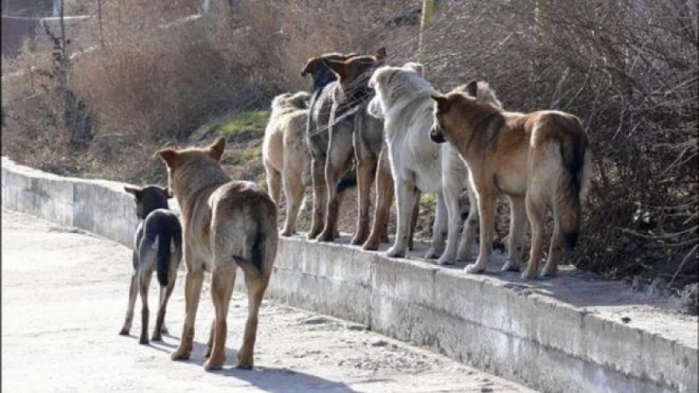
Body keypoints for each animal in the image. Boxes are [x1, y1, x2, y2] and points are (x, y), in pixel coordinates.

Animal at [119, 184, 183, 344]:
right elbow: (160, 300)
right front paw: (164, 328)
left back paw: (144, 338)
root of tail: (165, 225)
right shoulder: (163, 273)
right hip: (171, 274)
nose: (136, 213)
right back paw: (156, 334)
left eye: (135, 200)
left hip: (144, 274)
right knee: (162, 308)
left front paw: (125, 329)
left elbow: (131, 303)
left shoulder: (136, 271)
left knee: (145, 308)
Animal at [157, 136, 278, 370]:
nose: (164, 190)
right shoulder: (225, 276)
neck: (202, 185)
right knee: (251, 320)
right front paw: (208, 347)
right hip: (256, 276)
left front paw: (183, 352)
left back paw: (215, 362)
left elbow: (190, 318)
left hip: (220, 277)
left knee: (223, 322)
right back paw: (244, 360)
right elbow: (216, 317)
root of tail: (251, 196)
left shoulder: (194, 273)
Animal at [366, 62, 482, 264]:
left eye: (374, 91)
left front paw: (397, 251)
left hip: (451, 183)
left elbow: (403, 222)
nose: (369, 106)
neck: (407, 99)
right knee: (473, 218)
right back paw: (463, 255)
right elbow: (438, 225)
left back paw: (448, 257)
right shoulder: (439, 189)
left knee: (456, 220)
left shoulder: (403, 180)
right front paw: (433, 251)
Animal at [432, 79, 592, 278]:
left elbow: (485, 238)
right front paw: (512, 265)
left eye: (434, 115)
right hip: (561, 201)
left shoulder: (486, 196)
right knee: (557, 238)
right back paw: (548, 271)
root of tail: (568, 128)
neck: (476, 125)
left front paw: (479, 267)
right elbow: (515, 236)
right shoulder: (516, 199)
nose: (431, 134)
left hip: (535, 200)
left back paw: (530, 273)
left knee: (539, 235)